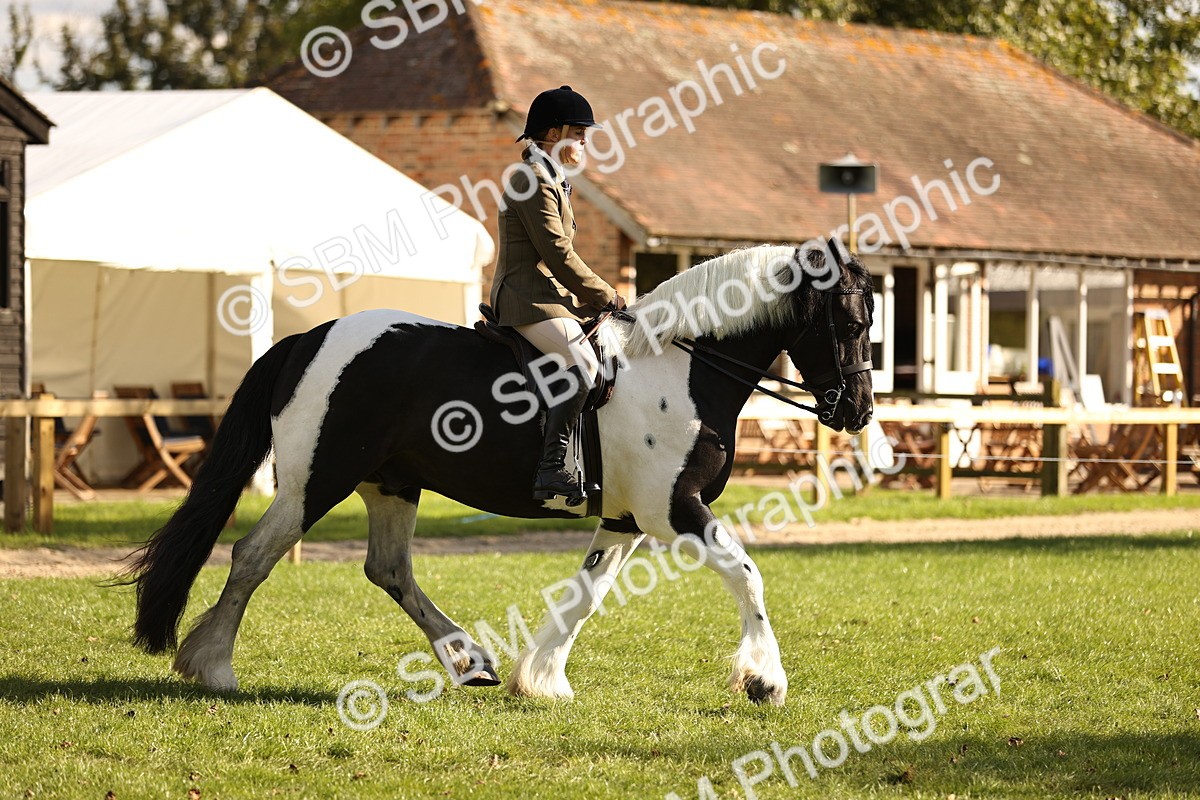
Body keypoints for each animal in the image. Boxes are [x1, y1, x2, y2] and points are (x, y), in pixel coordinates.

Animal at [126, 242, 874, 707]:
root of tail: (308, 338)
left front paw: (539, 679)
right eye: (849, 322)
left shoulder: (626, 518)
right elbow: (747, 574)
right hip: (317, 480)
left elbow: (585, 596)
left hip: (391, 483)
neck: (679, 365)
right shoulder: (674, 510)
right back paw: (212, 665)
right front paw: (764, 681)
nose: (859, 410)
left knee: (388, 569)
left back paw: (471, 663)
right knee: (254, 554)